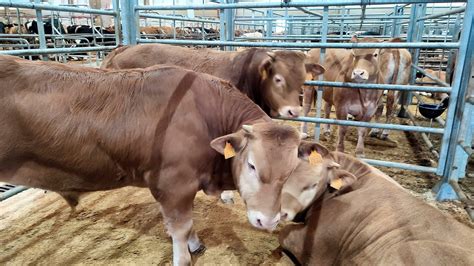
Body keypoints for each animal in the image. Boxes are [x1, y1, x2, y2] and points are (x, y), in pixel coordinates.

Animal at [0, 55, 308, 264]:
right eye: (252, 165)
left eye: (292, 170)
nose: (268, 221)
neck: (204, 113)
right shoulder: (173, 184)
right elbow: (180, 228)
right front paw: (184, 255)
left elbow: (187, 224)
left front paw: (195, 244)